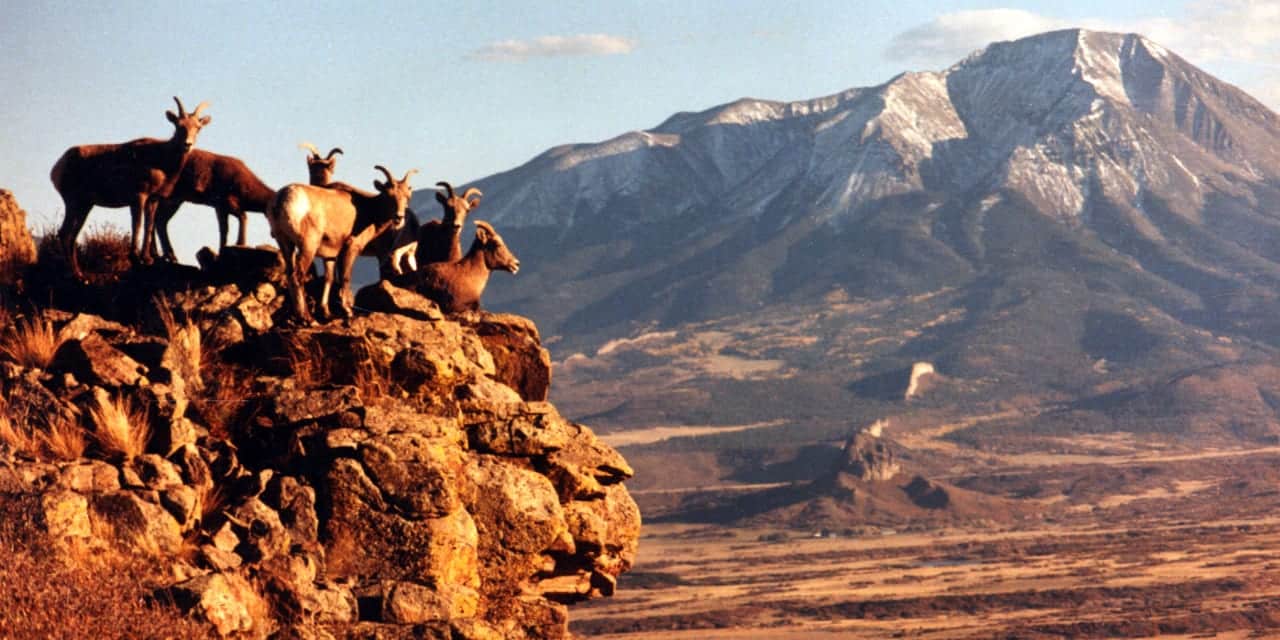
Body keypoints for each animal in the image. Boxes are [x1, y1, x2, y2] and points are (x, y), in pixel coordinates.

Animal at [51, 96, 211, 276]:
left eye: (198, 127)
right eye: (179, 125)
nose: (187, 144)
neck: (161, 159)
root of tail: (57, 167)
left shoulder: (153, 199)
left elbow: (149, 225)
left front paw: (147, 258)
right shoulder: (138, 197)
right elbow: (138, 224)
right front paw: (135, 257)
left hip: (84, 206)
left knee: (71, 236)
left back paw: (80, 275)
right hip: (73, 202)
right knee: (65, 234)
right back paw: (77, 275)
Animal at [267, 166, 417, 322]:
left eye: (407, 196)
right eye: (389, 195)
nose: (399, 218)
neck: (368, 210)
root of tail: (282, 199)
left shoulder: (330, 255)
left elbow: (329, 279)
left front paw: (326, 312)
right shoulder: (351, 248)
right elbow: (345, 278)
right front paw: (348, 311)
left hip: (285, 244)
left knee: (290, 275)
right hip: (307, 246)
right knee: (297, 277)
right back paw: (308, 319)